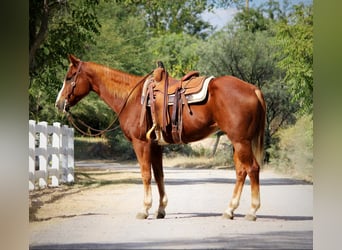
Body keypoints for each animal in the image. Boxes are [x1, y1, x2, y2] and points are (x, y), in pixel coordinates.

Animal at [54, 54, 266, 221]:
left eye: (69, 77)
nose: (59, 103)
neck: (131, 99)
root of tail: (253, 89)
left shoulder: (141, 143)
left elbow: (146, 175)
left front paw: (144, 209)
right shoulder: (156, 145)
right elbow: (159, 175)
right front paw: (161, 210)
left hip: (241, 141)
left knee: (252, 169)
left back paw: (252, 211)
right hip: (238, 142)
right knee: (241, 171)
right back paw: (229, 210)